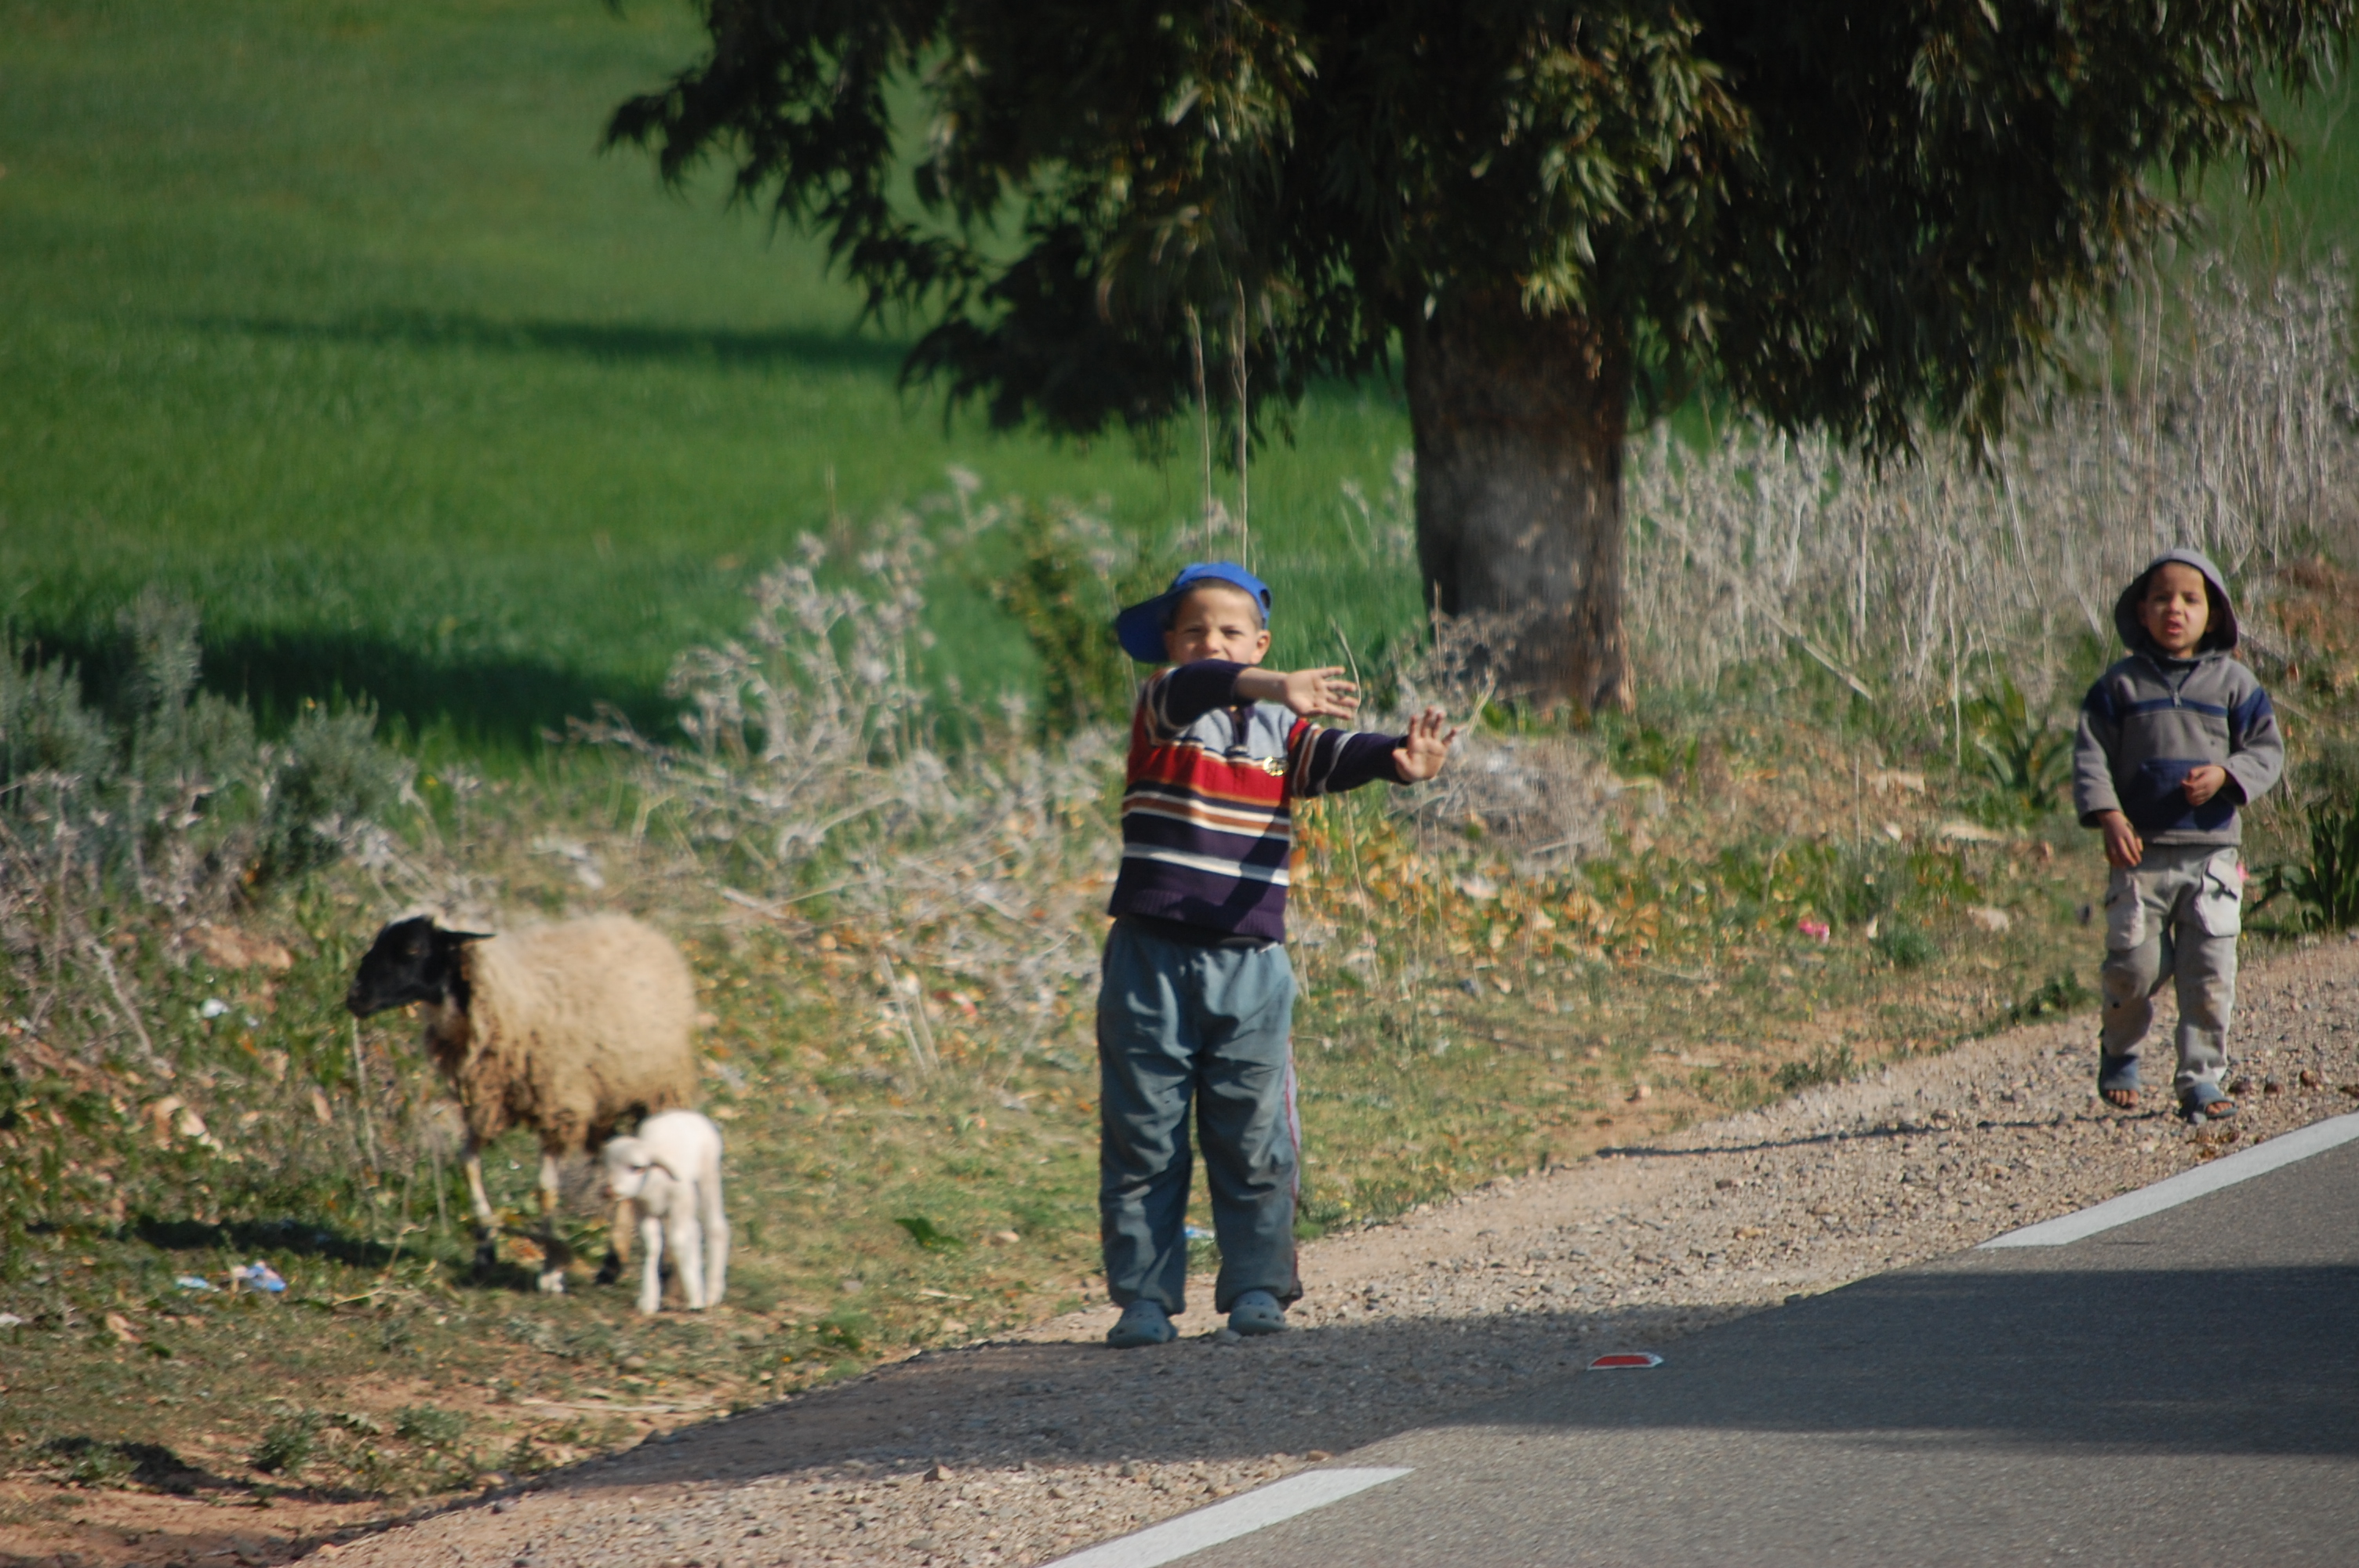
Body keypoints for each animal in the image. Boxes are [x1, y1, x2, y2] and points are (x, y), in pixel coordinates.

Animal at [344, 913, 699, 1293]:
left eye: (412, 949)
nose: (355, 997)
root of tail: (642, 929)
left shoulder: (558, 1105)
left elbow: (545, 1191)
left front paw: (551, 1268)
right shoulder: (487, 1103)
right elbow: (468, 1164)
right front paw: (485, 1252)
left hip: (658, 1092)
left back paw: (659, 1269)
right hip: (605, 1103)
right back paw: (611, 1264)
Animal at [598, 1110, 728, 1314]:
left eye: (637, 1167)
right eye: (607, 1165)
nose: (608, 1191)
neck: (653, 1182)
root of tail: (683, 1113)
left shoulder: (680, 1201)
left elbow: (677, 1244)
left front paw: (694, 1296)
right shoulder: (643, 1211)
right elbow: (652, 1247)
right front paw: (648, 1300)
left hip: (708, 1175)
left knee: (716, 1227)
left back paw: (712, 1292)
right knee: (695, 1230)